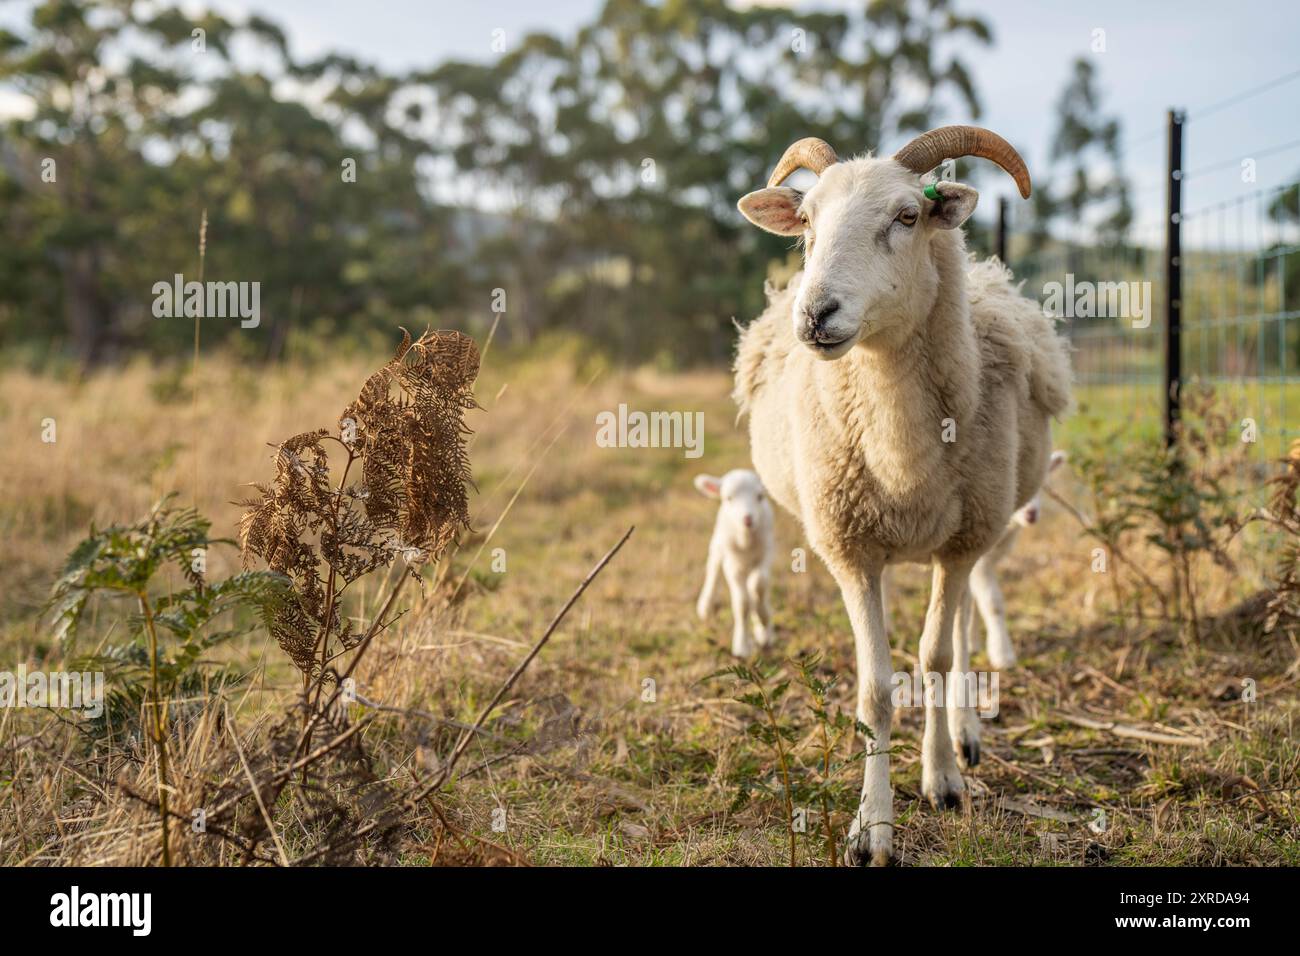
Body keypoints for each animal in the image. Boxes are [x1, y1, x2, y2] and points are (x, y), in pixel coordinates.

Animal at [696, 468, 774, 658]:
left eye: (760, 496)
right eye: (729, 498)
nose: (747, 519)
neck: (745, 541)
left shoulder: (767, 552)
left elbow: (759, 584)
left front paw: (763, 619)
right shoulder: (732, 564)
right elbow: (742, 603)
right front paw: (742, 647)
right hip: (718, 544)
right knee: (712, 571)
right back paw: (705, 605)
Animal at [738, 127, 1071, 868]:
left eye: (907, 216)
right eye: (807, 222)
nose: (816, 313)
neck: (902, 455)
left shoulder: (961, 544)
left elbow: (938, 658)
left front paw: (942, 778)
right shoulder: (852, 552)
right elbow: (877, 687)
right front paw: (873, 827)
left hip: (978, 525)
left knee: (966, 623)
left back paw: (967, 733)